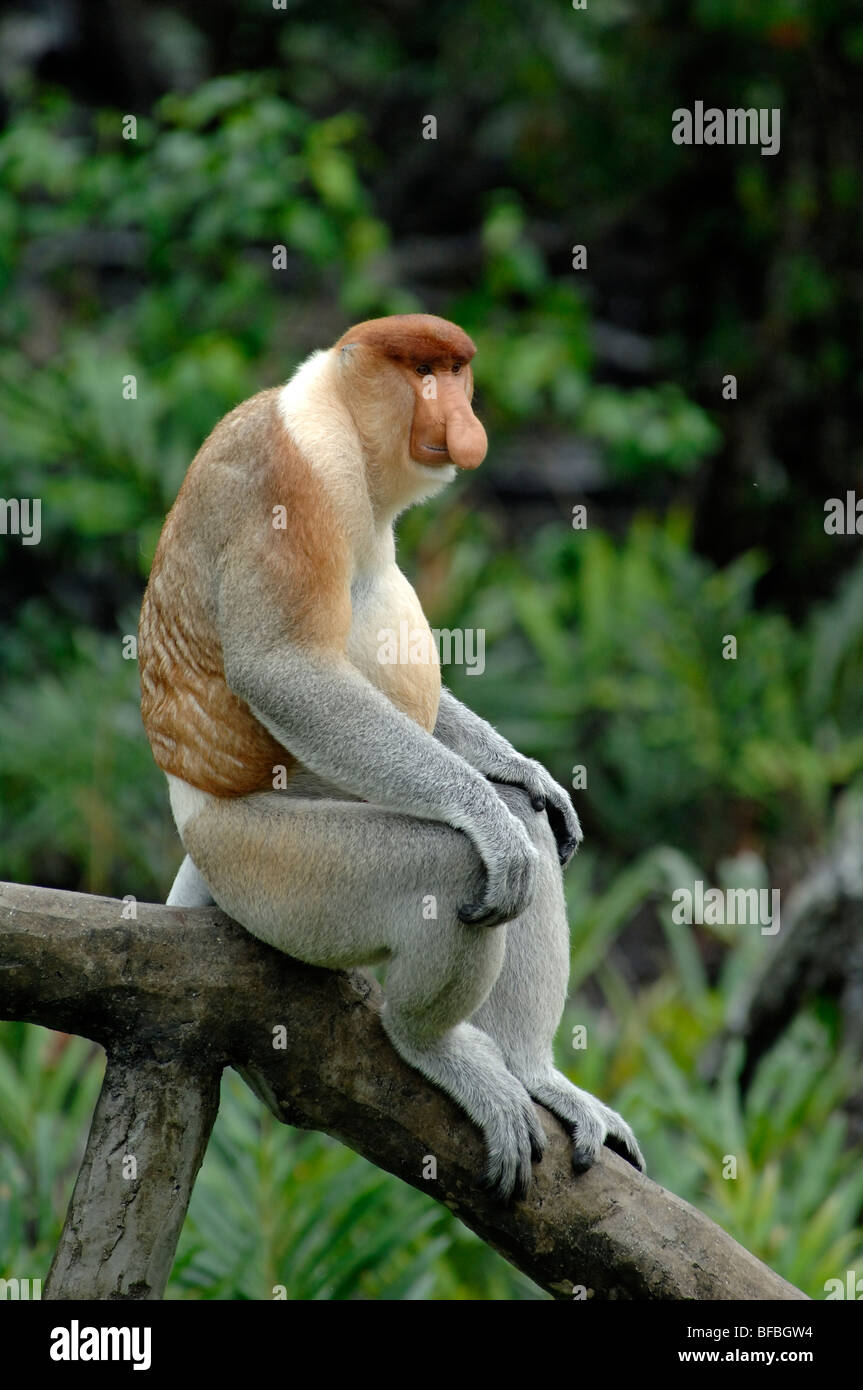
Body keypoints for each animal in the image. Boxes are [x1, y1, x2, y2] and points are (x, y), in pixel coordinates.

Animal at [138, 313, 644, 1199]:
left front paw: (525, 773)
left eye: (458, 371)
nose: (464, 419)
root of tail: (196, 832)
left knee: (521, 831)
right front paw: (488, 816)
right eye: (424, 373)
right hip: (267, 865)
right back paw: (434, 1046)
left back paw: (533, 1070)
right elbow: (285, 670)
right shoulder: (292, 481)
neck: (334, 414)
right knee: (454, 865)